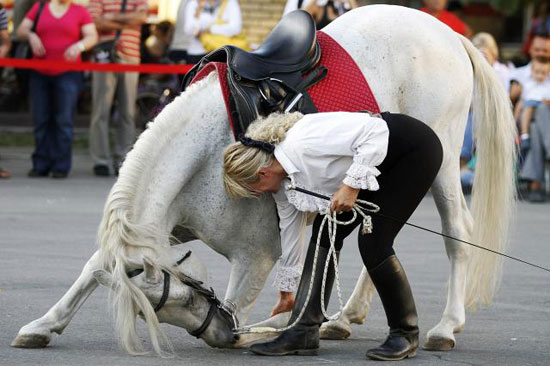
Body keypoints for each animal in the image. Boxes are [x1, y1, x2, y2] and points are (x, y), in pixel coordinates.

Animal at [11, 4, 516, 356]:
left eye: (179, 296)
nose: (220, 333)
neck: (207, 158)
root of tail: (449, 34)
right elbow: (94, 266)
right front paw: (43, 325)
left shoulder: (255, 258)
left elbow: (245, 298)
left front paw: (261, 331)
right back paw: (345, 316)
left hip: (443, 165)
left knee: (455, 233)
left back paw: (445, 327)